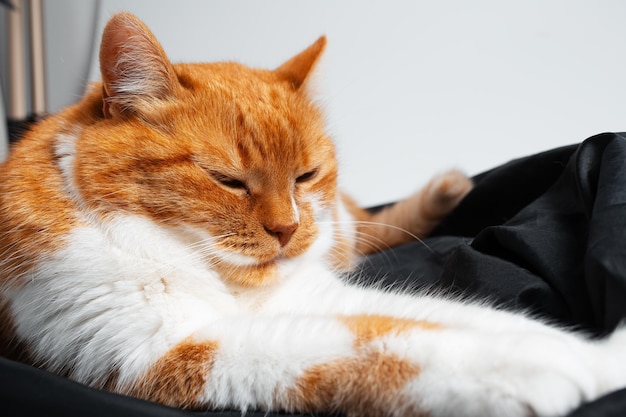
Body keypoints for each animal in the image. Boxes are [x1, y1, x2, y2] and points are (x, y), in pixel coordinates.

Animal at [1, 11, 624, 414]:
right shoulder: (155, 349)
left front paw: (596, 358)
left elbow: (454, 317)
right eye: (227, 180)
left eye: (305, 175)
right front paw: (532, 368)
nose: (287, 229)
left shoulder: (318, 294)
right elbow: (377, 349)